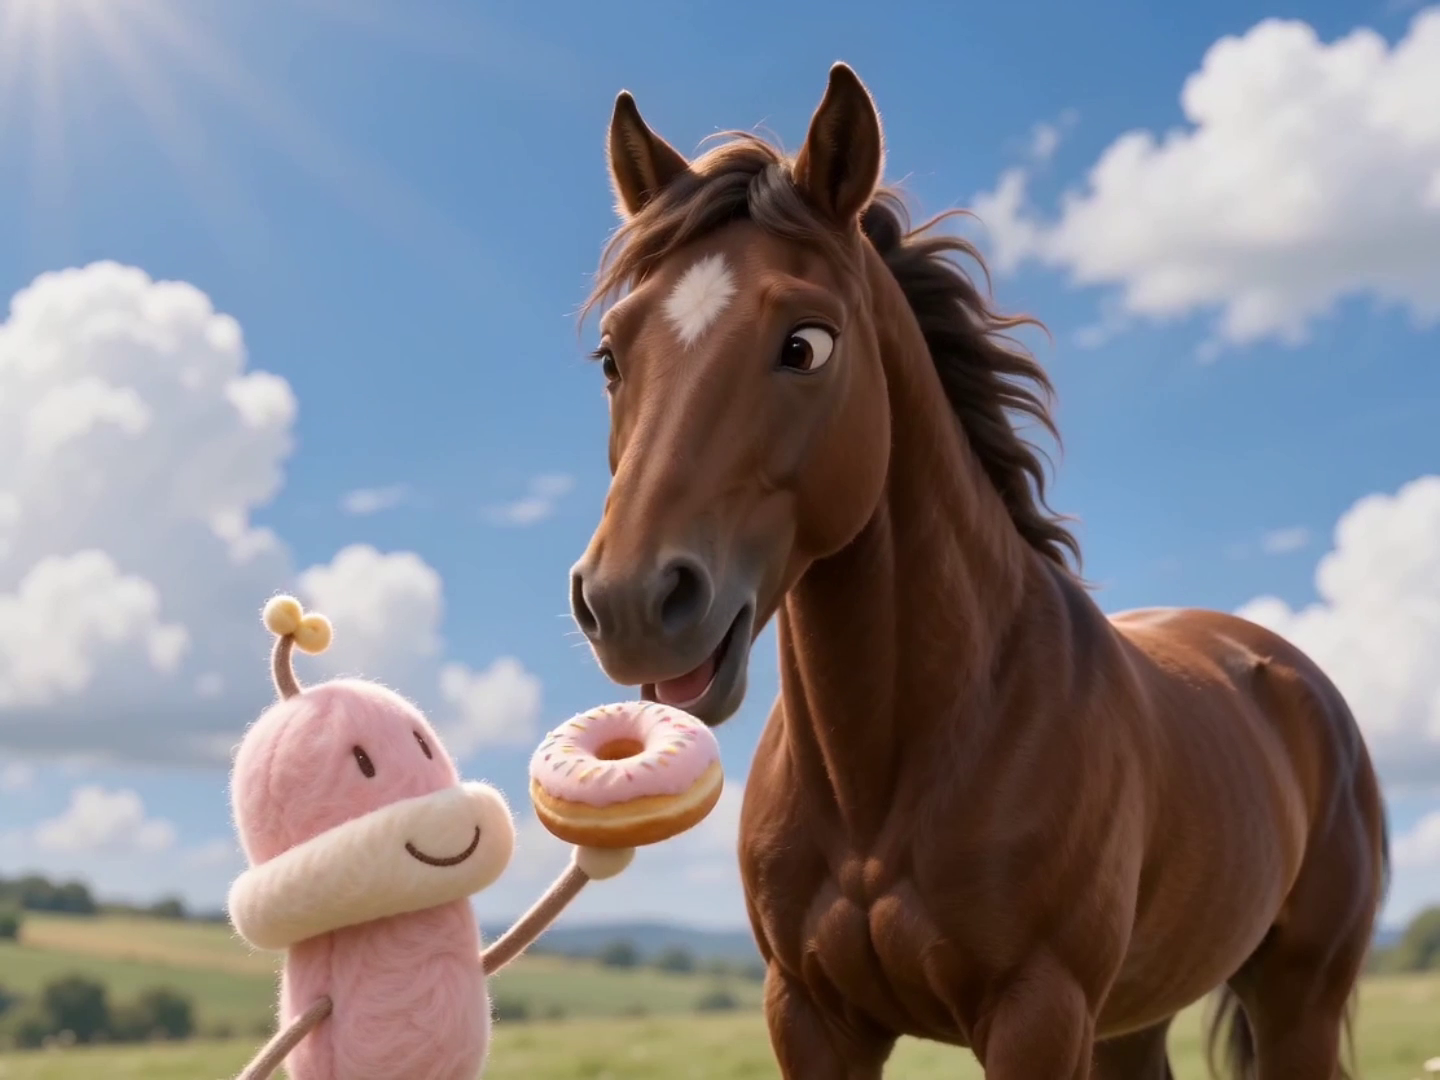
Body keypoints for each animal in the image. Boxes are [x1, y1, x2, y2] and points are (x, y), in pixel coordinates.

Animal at [567, 63, 1389, 1079]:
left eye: (807, 343)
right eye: (612, 355)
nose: (632, 602)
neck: (891, 771)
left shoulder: (1038, 1013)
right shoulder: (810, 1017)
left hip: (1295, 1001)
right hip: (1133, 1018)